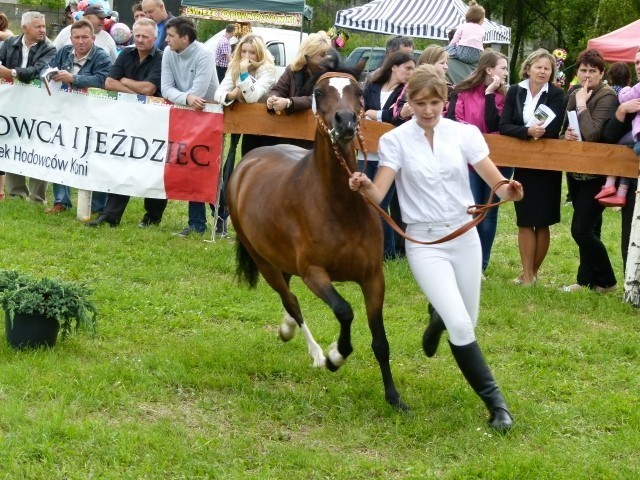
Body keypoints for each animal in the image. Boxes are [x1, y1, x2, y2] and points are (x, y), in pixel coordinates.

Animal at [225, 68, 404, 412]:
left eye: (359, 91)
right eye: (319, 93)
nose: (345, 122)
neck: (339, 206)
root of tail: (249, 160)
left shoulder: (373, 277)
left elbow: (381, 341)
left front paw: (394, 398)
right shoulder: (314, 274)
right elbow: (344, 311)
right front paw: (335, 356)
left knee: (288, 293)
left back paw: (287, 329)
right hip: (263, 261)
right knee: (290, 300)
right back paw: (315, 351)